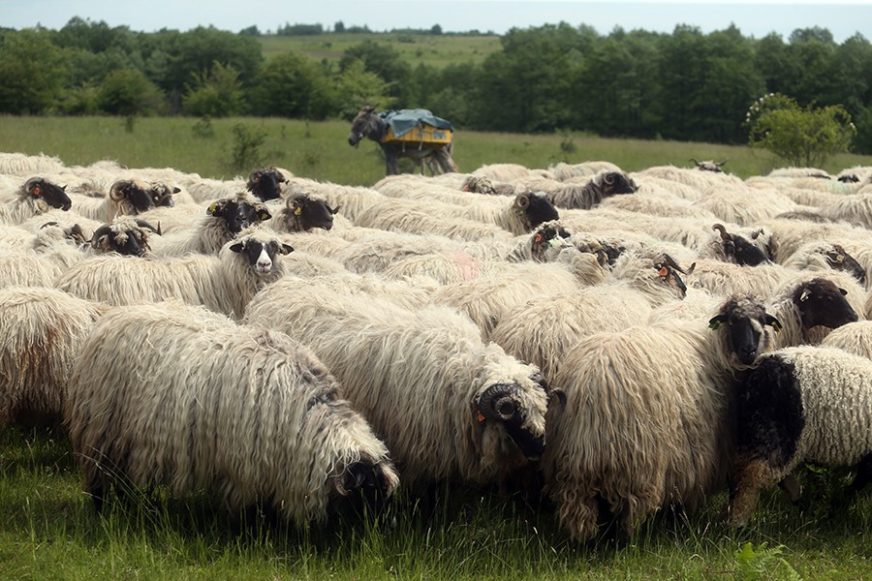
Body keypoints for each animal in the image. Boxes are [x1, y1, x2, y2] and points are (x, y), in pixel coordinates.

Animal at [66, 302, 400, 520]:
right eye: (364, 493)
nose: (371, 541)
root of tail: (111, 318)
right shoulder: (244, 465)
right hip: (101, 428)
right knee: (99, 480)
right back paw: (103, 513)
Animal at [544, 296, 784, 540]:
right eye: (733, 321)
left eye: (762, 321)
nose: (749, 351)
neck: (715, 346)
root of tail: (590, 386)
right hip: (637, 465)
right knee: (629, 512)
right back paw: (628, 539)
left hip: (574, 471)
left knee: (579, 510)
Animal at [724, 342, 872, 528]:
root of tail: (760, 368)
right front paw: (838, 507)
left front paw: (837, 506)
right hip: (774, 434)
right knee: (749, 478)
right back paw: (738, 525)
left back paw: (802, 503)